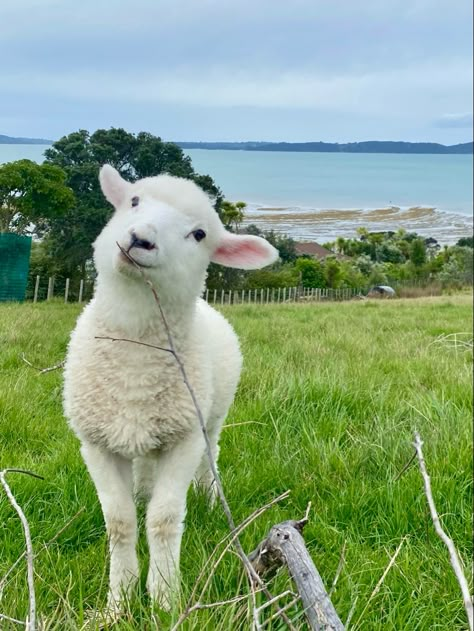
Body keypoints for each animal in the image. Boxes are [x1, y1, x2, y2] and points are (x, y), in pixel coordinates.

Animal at [62, 165, 278, 608]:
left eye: (199, 234)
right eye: (134, 201)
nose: (141, 238)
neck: (135, 362)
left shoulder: (184, 439)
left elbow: (163, 520)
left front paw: (164, 598)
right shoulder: (96, 443)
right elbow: (120, 522)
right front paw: (119, 601)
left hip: (210, 419)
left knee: (210, 461)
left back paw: (211, 501)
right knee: (144, 473)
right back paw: (142, 493)